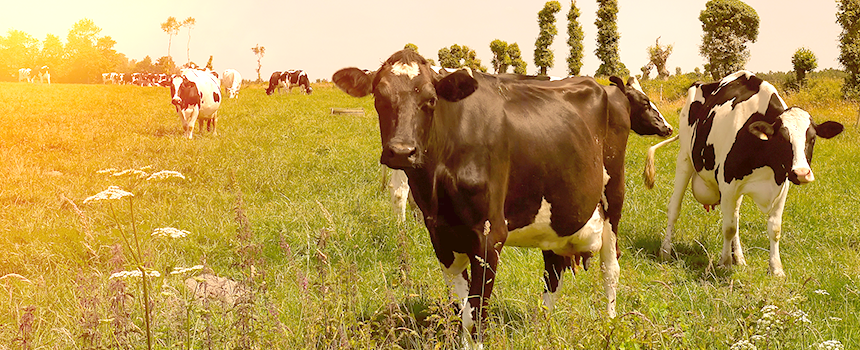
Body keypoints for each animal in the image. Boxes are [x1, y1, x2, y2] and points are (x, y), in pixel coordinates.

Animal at [332, 50, 676, 348]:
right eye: (379, 97)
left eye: (430, 100)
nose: (402, 151)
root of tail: (606, 88)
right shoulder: (440, 235)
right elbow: (461, 307)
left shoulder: (489, 235)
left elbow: (476, 311)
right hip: (556, 209)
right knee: (553, 271)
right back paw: (542, 327)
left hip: (613, 198)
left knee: (610, 266)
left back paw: (609, 323)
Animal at [644, 71, 840, 278]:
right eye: (782, 138)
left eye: (812, 138)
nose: (802, 173)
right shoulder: (728, 184)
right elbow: (728, 228)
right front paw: (725, 263)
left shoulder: (781, 185)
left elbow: (773, 228)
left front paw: (776, 268)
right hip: (685, 158)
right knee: (675, 208)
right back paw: (665, 251)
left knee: (735, 216)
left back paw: (739, 257)